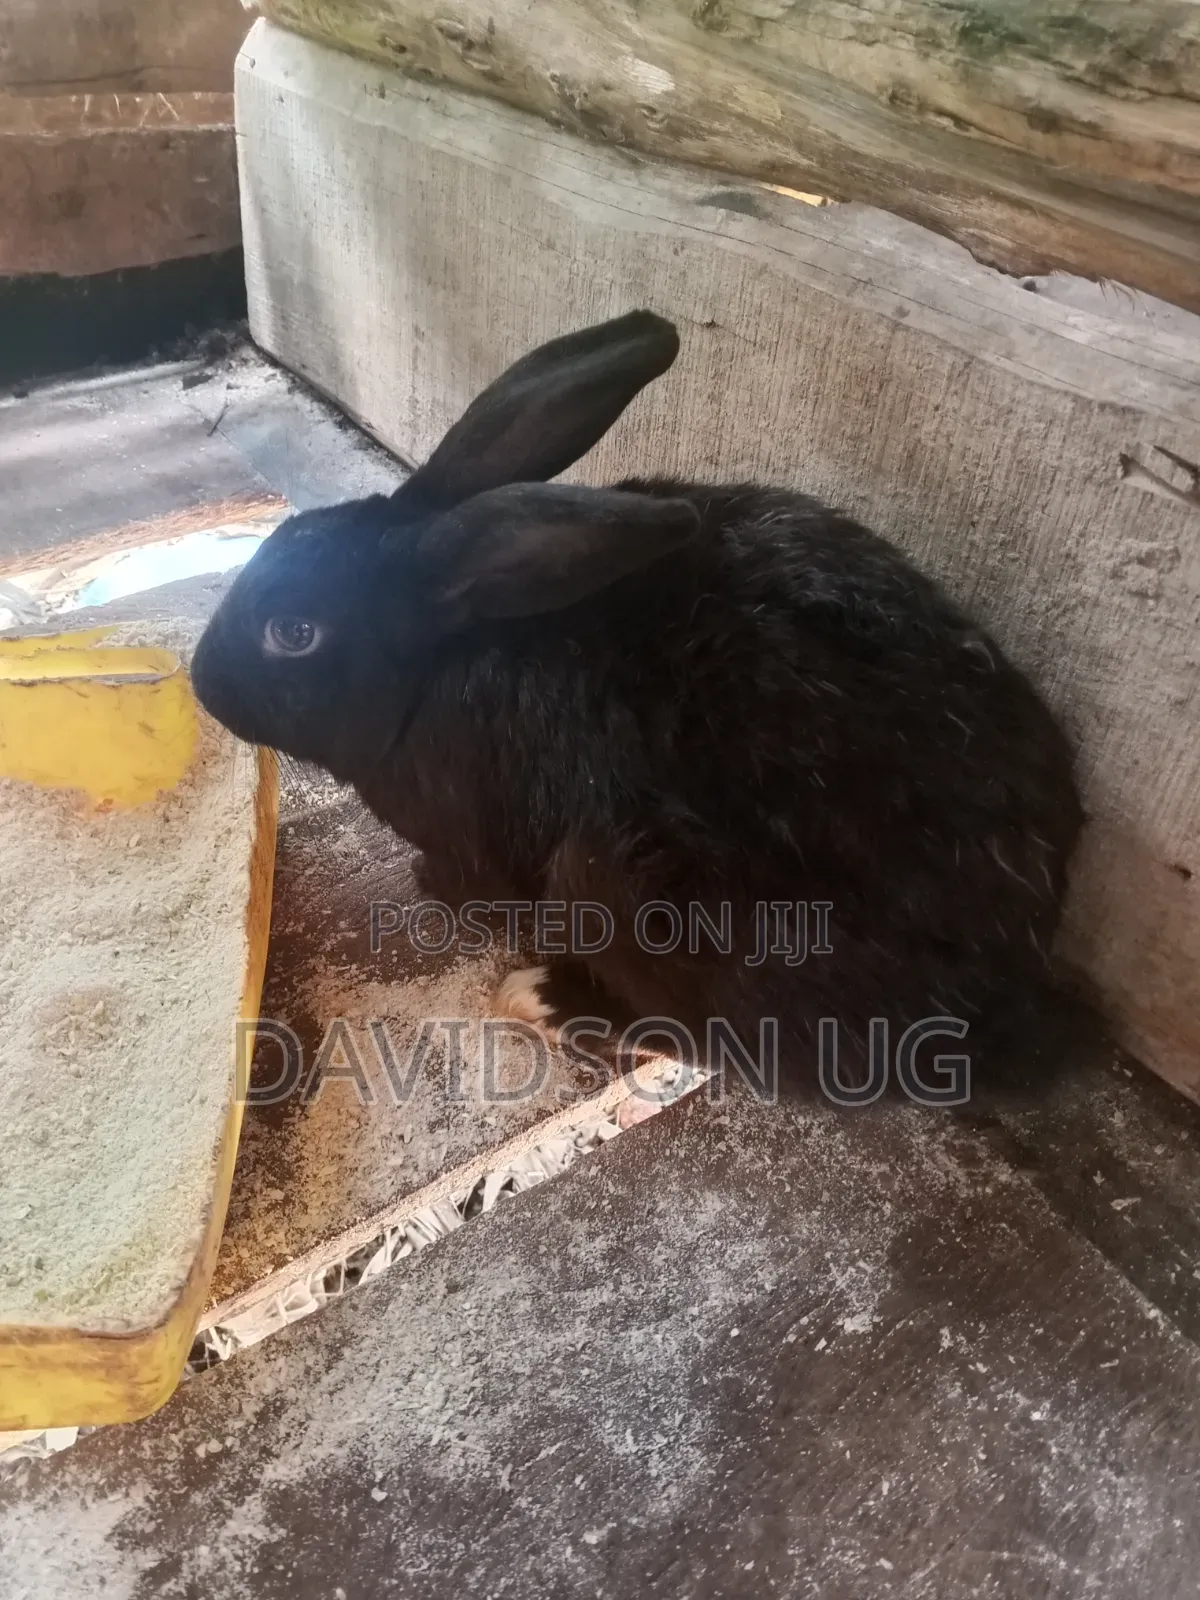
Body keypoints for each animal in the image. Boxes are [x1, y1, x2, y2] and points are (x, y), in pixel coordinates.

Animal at [190, 309, 1083, 1092]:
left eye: (294, 632)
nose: (201, 680)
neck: (442, 655)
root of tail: (994, 996)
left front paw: (431, 884)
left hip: (627, 884)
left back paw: (544, 998)